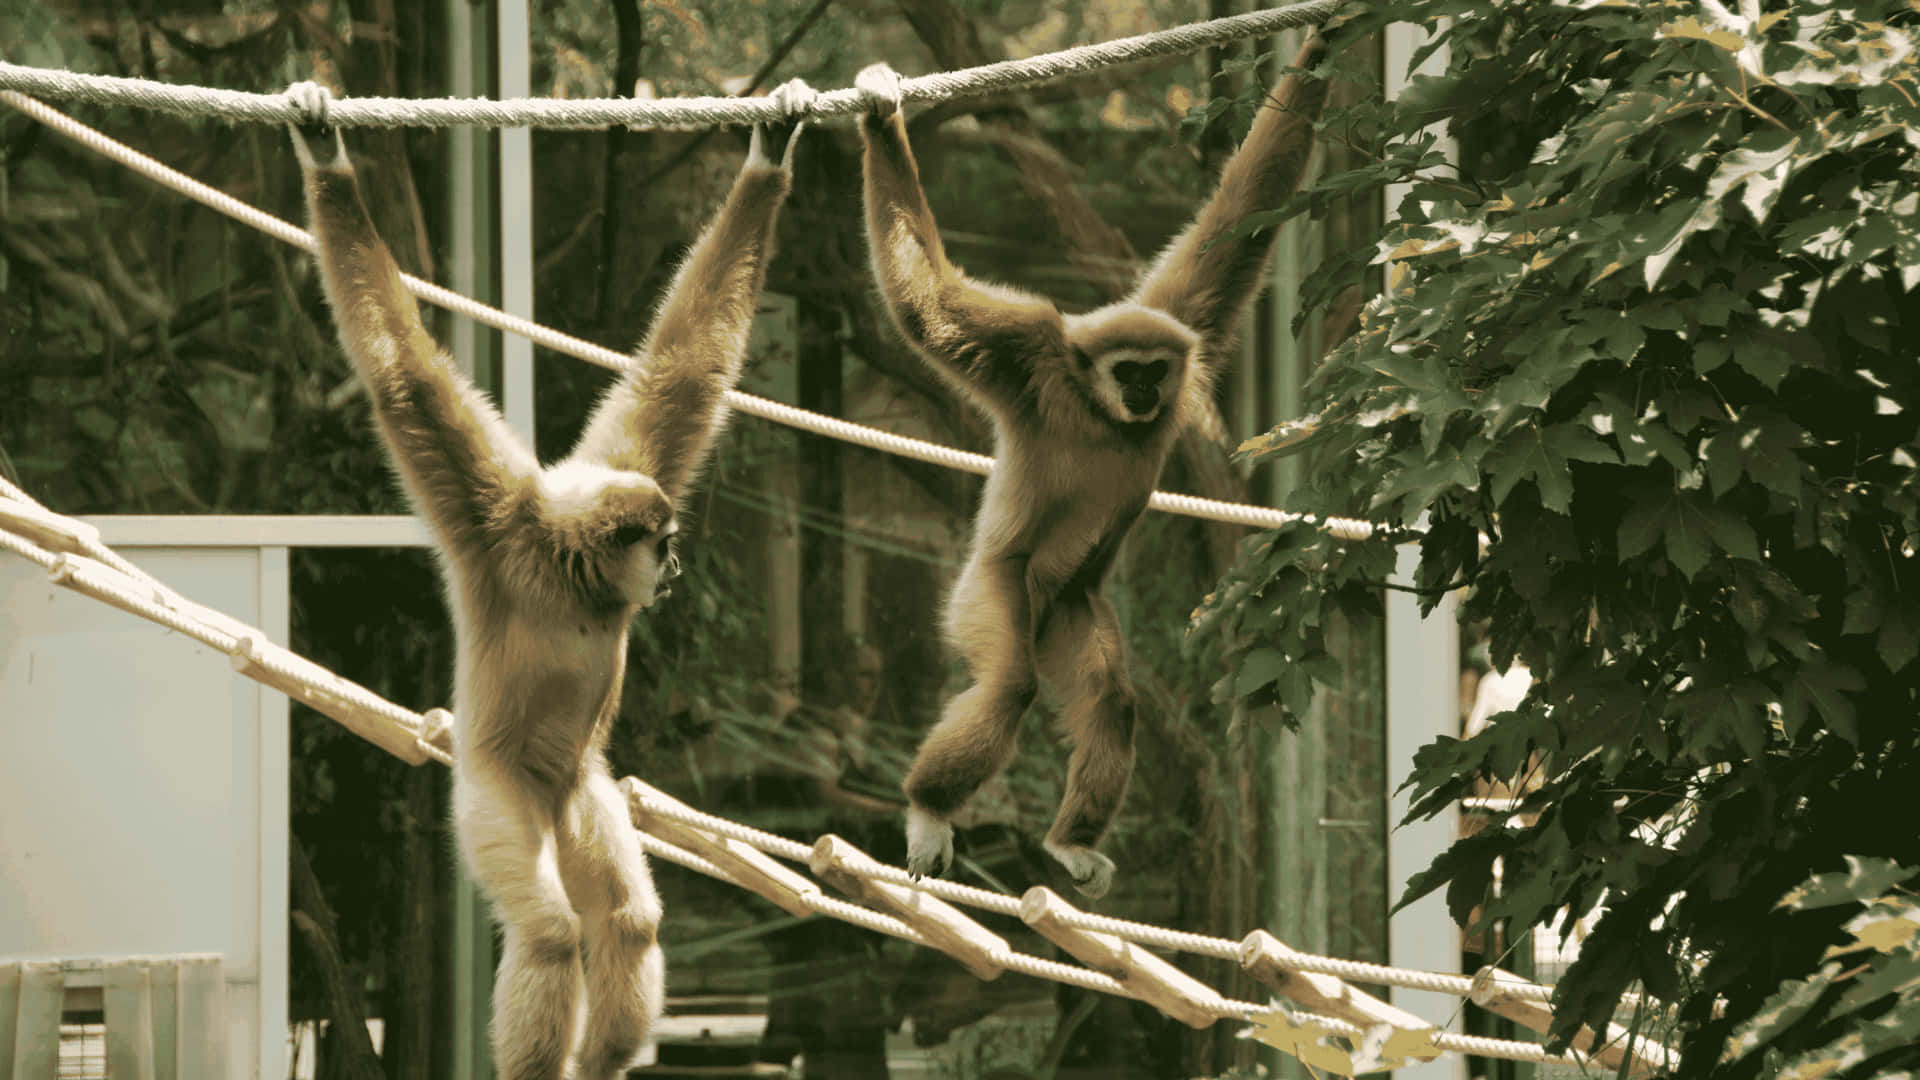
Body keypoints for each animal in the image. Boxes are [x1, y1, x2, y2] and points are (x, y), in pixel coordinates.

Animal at [290, 80, 811, 1080]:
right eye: (664, 544)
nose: (674, 565)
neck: (574, 578)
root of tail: (549, 786)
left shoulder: (616, 462)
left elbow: (684, 371)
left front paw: (770, 151)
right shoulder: (493, 520)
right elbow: (403, 379)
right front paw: (325, 155)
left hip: (582, 792)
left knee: (627, 919)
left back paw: (602, 1052)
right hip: (497, 793)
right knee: (551, 930)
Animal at [854, 37, 1330, 899]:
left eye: (1152, 371)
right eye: (1125, 371)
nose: (1144, 392)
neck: (1099, 411)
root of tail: (1042, 607)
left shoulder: (1183, 329)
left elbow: (1235, 229)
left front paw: (1326, 42)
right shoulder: (1030, 354)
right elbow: (928, 310)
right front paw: (882, 117)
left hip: (1072, 609)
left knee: (1110, 699)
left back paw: (1068, 840)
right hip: (992, 591)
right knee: (1010, 682)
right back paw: (929, 808)